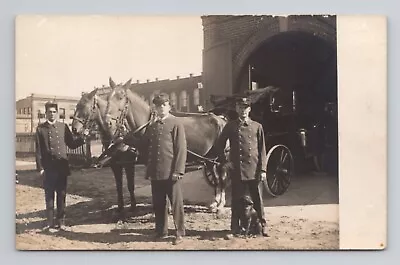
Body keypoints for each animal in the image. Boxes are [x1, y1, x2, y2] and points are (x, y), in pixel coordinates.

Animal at [72, 86, 139, 219]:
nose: (74, 129)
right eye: (76, 106)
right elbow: (118, 186)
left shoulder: (129, 163)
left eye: (84, 107)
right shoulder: (115, 165)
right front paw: (120, 208)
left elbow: (130, 185)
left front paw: (133, 207)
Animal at [103, 77, 228, 209]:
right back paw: (215, 202)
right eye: (108, 98)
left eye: (121, 97)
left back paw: (221, 203)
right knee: (215, 178)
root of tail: (221, 119)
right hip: (209, 157)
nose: (107, 122)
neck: (149, 124)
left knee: (222, 177)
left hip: (221, 156)